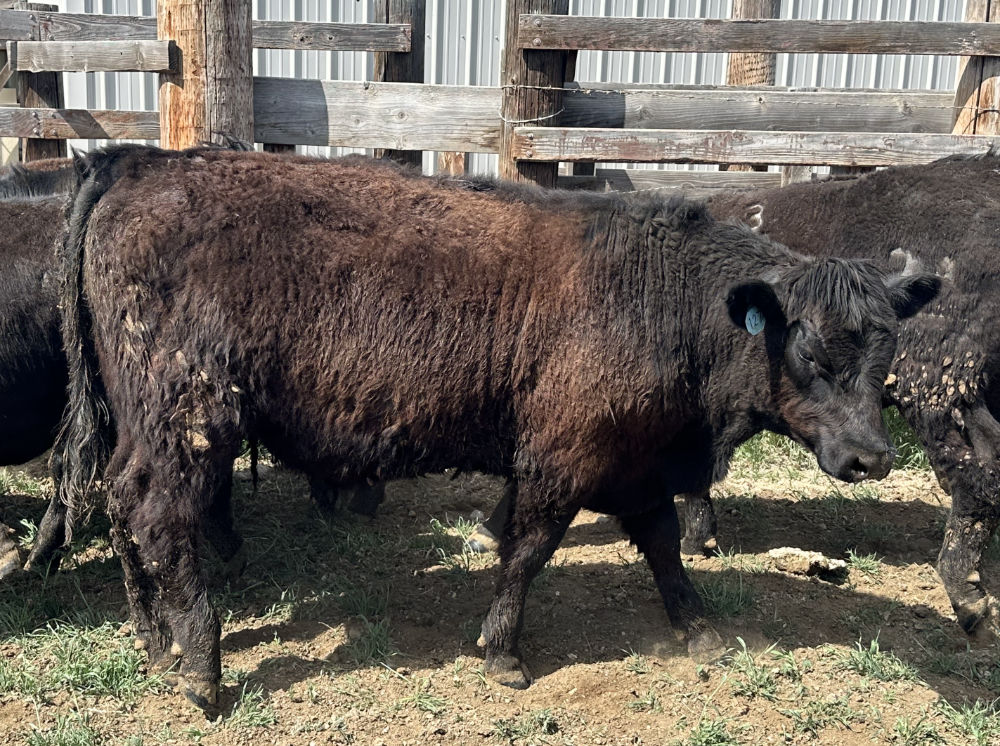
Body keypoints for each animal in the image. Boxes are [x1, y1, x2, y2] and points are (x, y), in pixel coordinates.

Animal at [55, 144, 936, 710]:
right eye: (810, 351)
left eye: (887, 349)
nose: (870, 457)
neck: (660, 295)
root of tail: (137, 162)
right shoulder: (561, 460)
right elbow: (529, 550)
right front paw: (504, 654)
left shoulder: (634, 461)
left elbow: (661, 541)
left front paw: (696, 626)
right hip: (189, 418)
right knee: (158, 514)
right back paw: (201, 666)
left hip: (140, 424)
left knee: (120, 505)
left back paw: (156, 642)